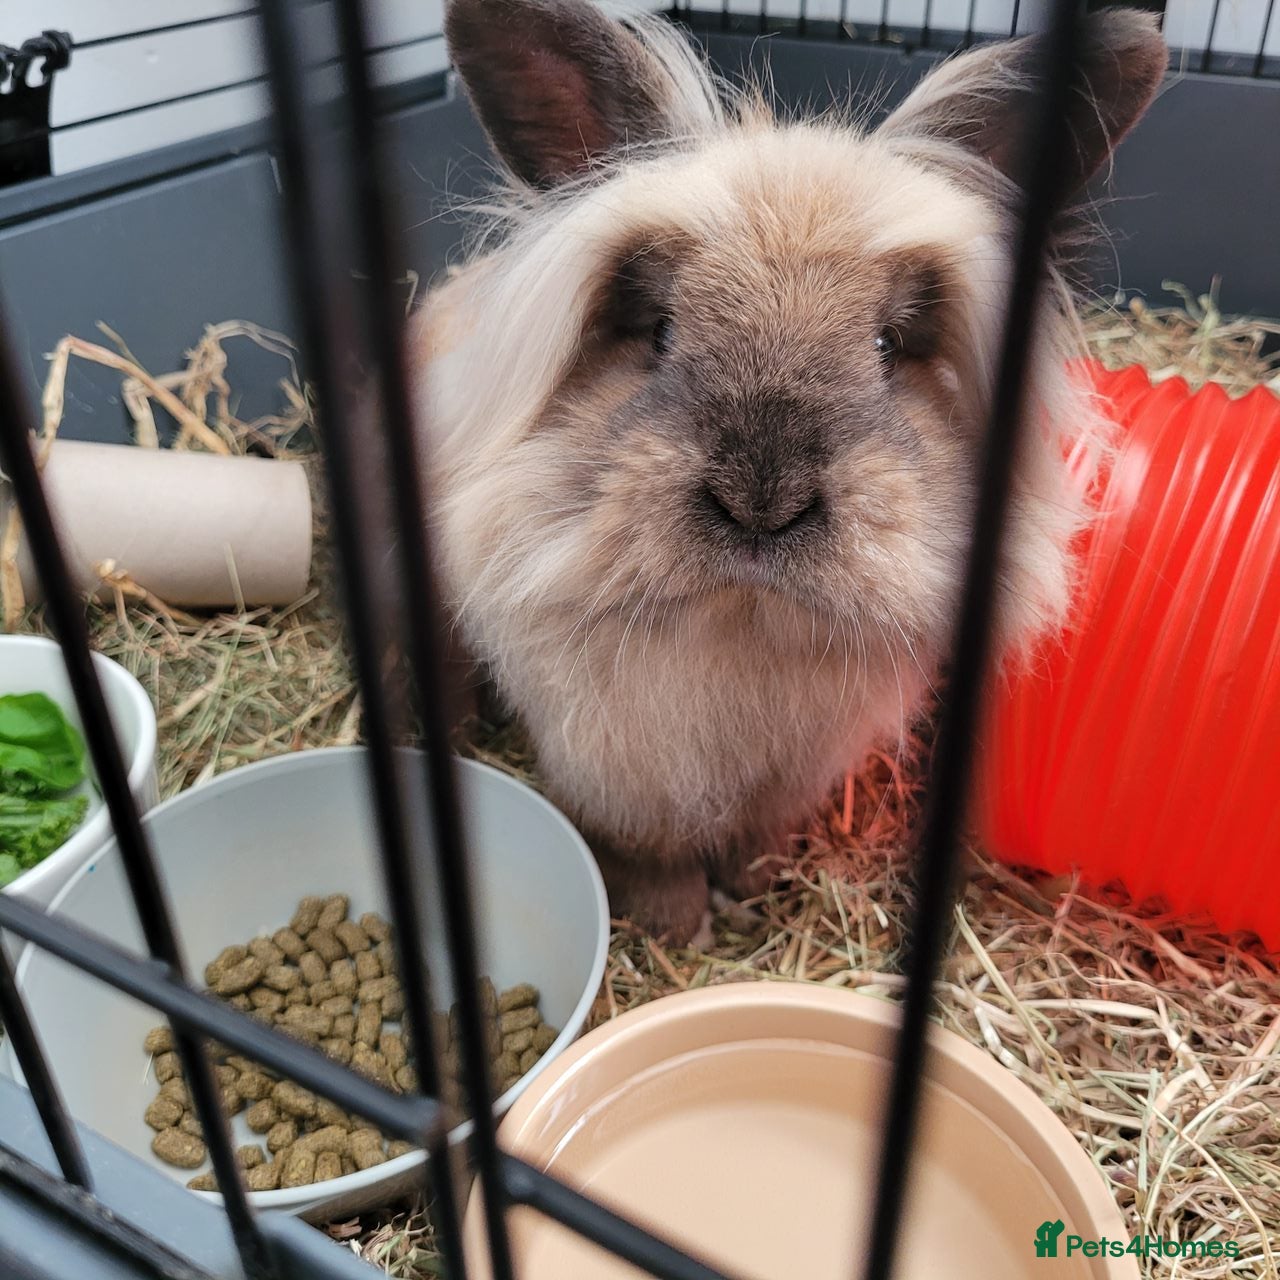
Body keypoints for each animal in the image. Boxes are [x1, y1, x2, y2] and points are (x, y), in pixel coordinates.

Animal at [411, 1, 1167, 942]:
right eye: (658, 330)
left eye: (887, 346)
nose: (761, 501)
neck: (743, 625)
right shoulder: (612, 767)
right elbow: (647, 853)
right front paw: (678, 926)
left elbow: (754, 838)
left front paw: (752, 893)